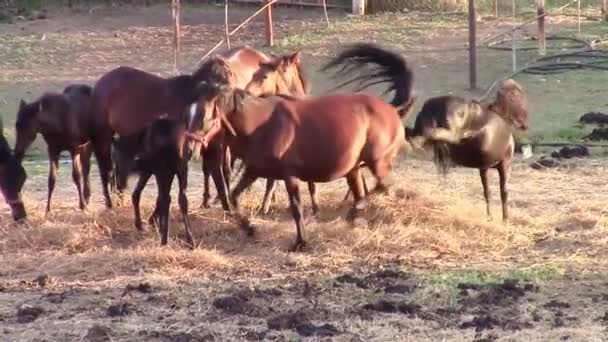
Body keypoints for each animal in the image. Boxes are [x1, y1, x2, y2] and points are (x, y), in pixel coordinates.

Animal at [14, 84, 94, 214]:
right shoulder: (52, 150)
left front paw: (82, 205)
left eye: (28, 125)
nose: (18, 152)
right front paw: (47, 209)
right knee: (86, 166)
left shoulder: (74, 149)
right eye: (16, 125)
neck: (56, 124)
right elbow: (52, 179)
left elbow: (76, 176)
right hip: (84, 146)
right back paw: (86, 197)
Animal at [90, 58, 233, 208]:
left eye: (229, 75)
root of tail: (100, 83)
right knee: (106, 171)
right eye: (215, 77)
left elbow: (215, 175)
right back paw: (110, 204)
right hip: (103, 138)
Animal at [111, 116, 192, 247]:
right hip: (181, 169)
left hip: (164, 171)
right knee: (181, 199)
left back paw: (164, 239)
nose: (120, 183)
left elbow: (137, 195)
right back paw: (190, 240)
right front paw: (153, 223)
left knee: (166, 199)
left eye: (116, 158)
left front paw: (141, 224)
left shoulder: (150, 170)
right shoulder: (160, 171)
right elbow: (155, 197)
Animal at [190, 43, 416, 251]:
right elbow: (234, 197)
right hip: (353, 169)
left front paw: (300, 242)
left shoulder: (290, 176)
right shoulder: (253, 171)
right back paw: (354, 217)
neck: (261, 124)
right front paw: (250, 228)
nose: (191, 147)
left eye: (204, 118)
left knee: (383, 187)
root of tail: (393, 110)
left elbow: (296, 208)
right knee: (366, 192)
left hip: (377, 162)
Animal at [406, 80, 528, 223]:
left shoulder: (483, 168)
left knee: (411, 133)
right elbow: (504, 192)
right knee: (437, 135)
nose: (525, 124)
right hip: (450, 133)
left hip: (421, 128)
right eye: (517, 96)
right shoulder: (504, 164)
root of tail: (431, 104)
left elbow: (487, 192)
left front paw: (490, 217)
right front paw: (505, 219)